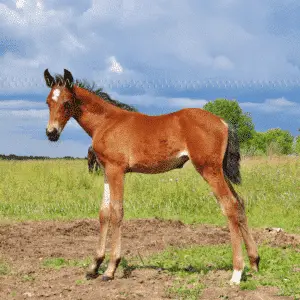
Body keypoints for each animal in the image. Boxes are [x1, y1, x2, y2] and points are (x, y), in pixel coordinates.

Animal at [43, 69, 258, 284]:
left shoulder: (116, 170)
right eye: (47, 102)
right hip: (219, 170)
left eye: (66, 103)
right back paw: (254, 262)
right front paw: (93, 266)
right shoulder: (106, 171)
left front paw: (110, 269)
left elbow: (116, 212)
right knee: (240, 203)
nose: (51, 133)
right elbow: (104, 213)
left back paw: (237, 273)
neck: (106, 122)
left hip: (209, 169)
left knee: (229, 205)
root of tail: (223, 122)